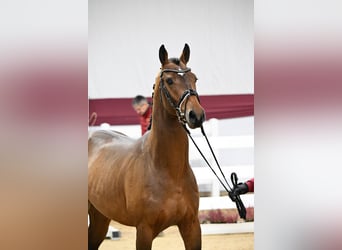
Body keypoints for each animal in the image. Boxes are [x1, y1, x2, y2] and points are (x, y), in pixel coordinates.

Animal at [89, 44, 206, 249]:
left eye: (194, 78)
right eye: (169, 80)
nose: (196, 115)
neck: (168, 170)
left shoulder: (191, 226)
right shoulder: (144, 230)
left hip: (100, 217)